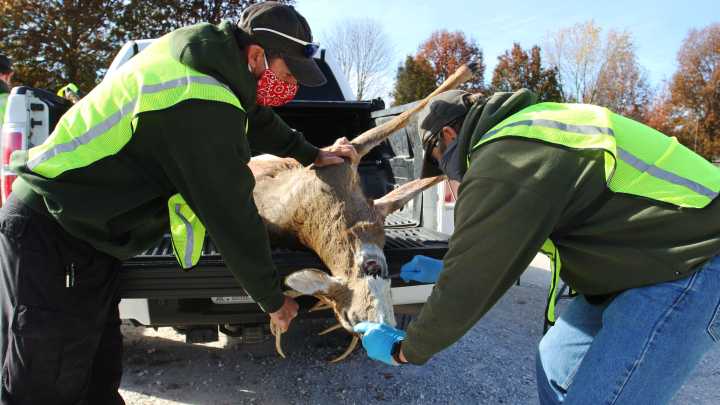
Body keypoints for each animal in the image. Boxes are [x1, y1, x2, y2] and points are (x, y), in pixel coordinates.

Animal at [247, 63, 478, 362]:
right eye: (352, 323)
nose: (381, 342)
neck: (347, 221)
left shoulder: (347, 166)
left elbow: (410, 129)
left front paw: (467, 78)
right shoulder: (356, 176)